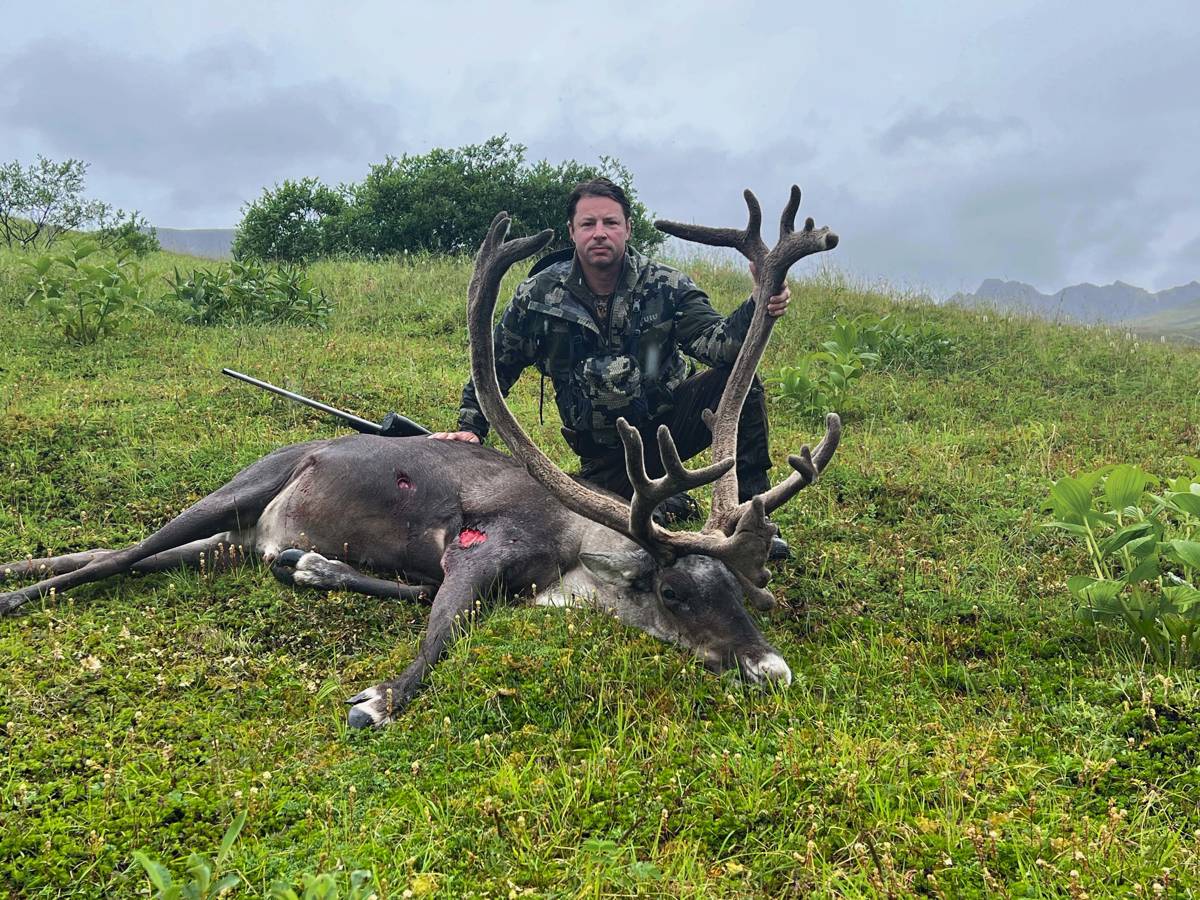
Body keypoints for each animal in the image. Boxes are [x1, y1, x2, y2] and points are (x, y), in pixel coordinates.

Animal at [0, 188, 840, 728]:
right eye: (673, 592)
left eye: (746, 592)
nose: (772, 669)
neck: (575, 557)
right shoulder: (478, 546)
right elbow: (444, 629)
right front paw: (381, 699)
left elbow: (411, 595)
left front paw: (315, 567)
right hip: (246, 486)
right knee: (119, 556)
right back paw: (18, 594)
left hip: (227, 541)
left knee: (122, 551)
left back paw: (21, 565)